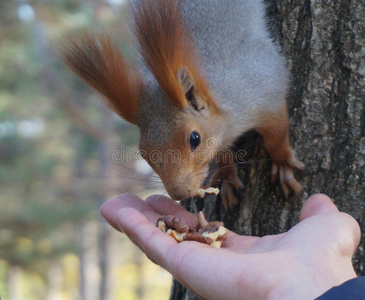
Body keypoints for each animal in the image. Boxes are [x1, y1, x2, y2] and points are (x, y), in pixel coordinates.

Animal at [61, 0, 302, 210]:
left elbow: (276, 134)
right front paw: (226, 175)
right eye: (144, 153)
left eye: (194, 138)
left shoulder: (264, 86)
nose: (179, 193)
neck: (226, 124)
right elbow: (222, 154)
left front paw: (282, 163)